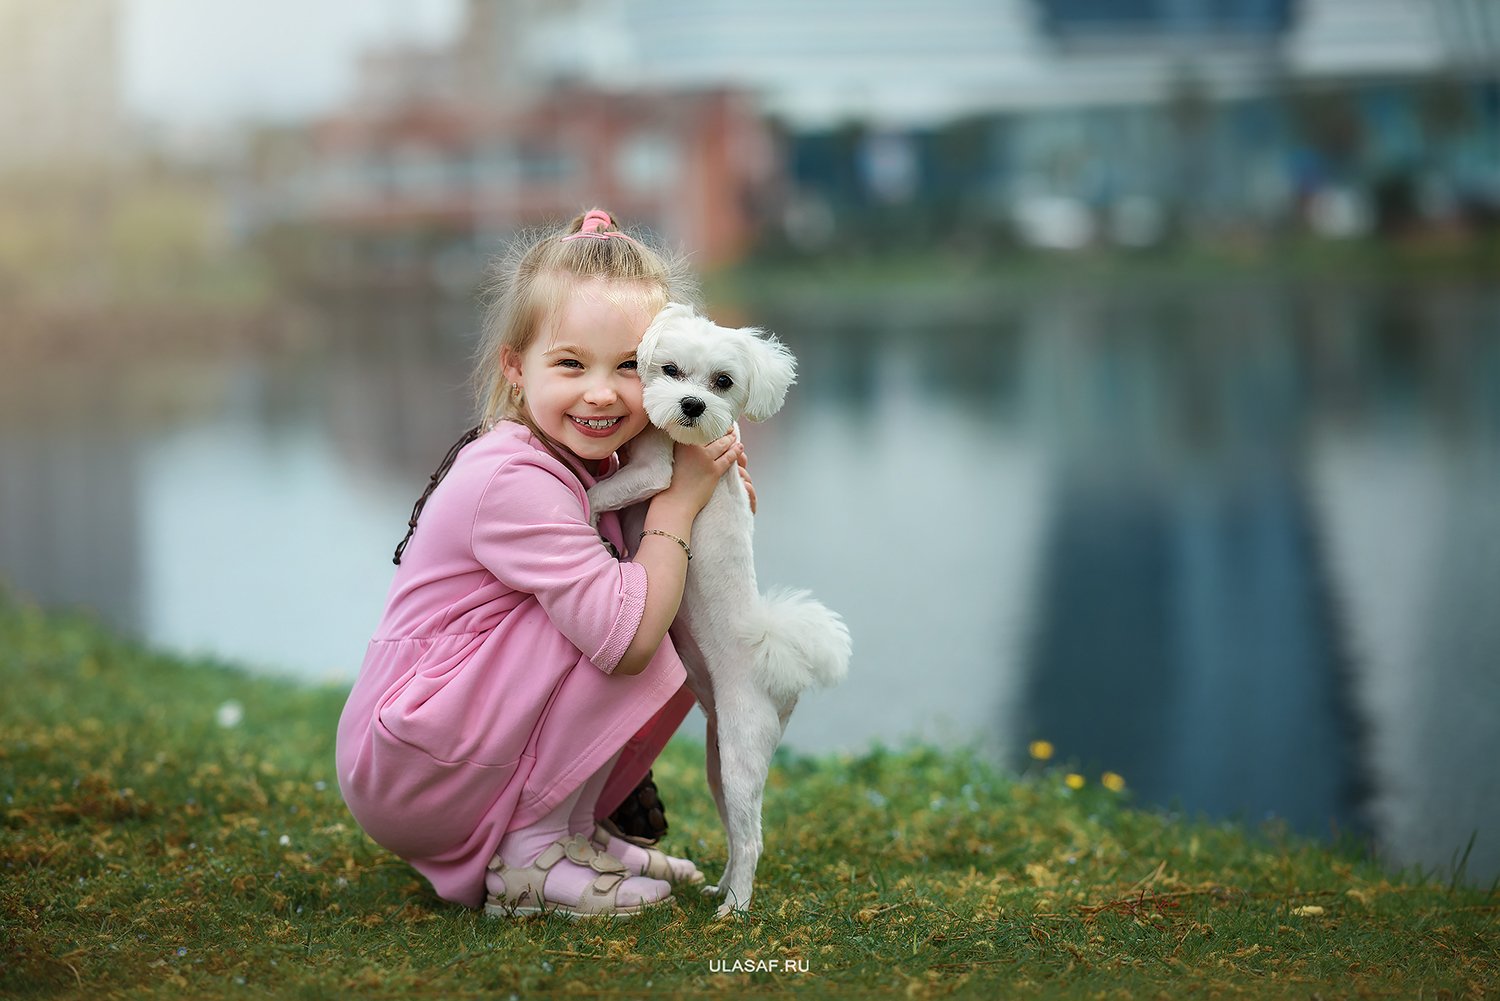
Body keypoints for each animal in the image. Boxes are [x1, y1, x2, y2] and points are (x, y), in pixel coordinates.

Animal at [585, 301, 852, 918]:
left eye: (723, 382)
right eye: (670, 370)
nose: (692, 405)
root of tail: (779, 674)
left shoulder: (652, 473)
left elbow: (598, 491)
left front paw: (584, 507)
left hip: (741, 750)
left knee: (751, 838)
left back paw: (735, 909)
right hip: (719, 760)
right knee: (735, 830)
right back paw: (723, 888)